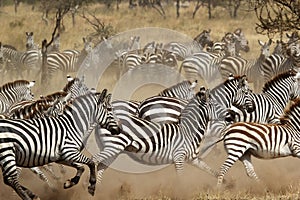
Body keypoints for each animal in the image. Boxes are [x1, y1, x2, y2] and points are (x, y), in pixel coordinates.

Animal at [92, 88, 226, 185]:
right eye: (216, 105)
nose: (230, 114)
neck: (188, 131)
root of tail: (101, 122)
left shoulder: (193, 159)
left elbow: (211, 170)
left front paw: (224, 183)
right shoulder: (179, 157)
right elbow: (180, 178)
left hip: (114, 149)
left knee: (101, 166)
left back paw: (98, 190)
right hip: (114, 146)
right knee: (94, 160)